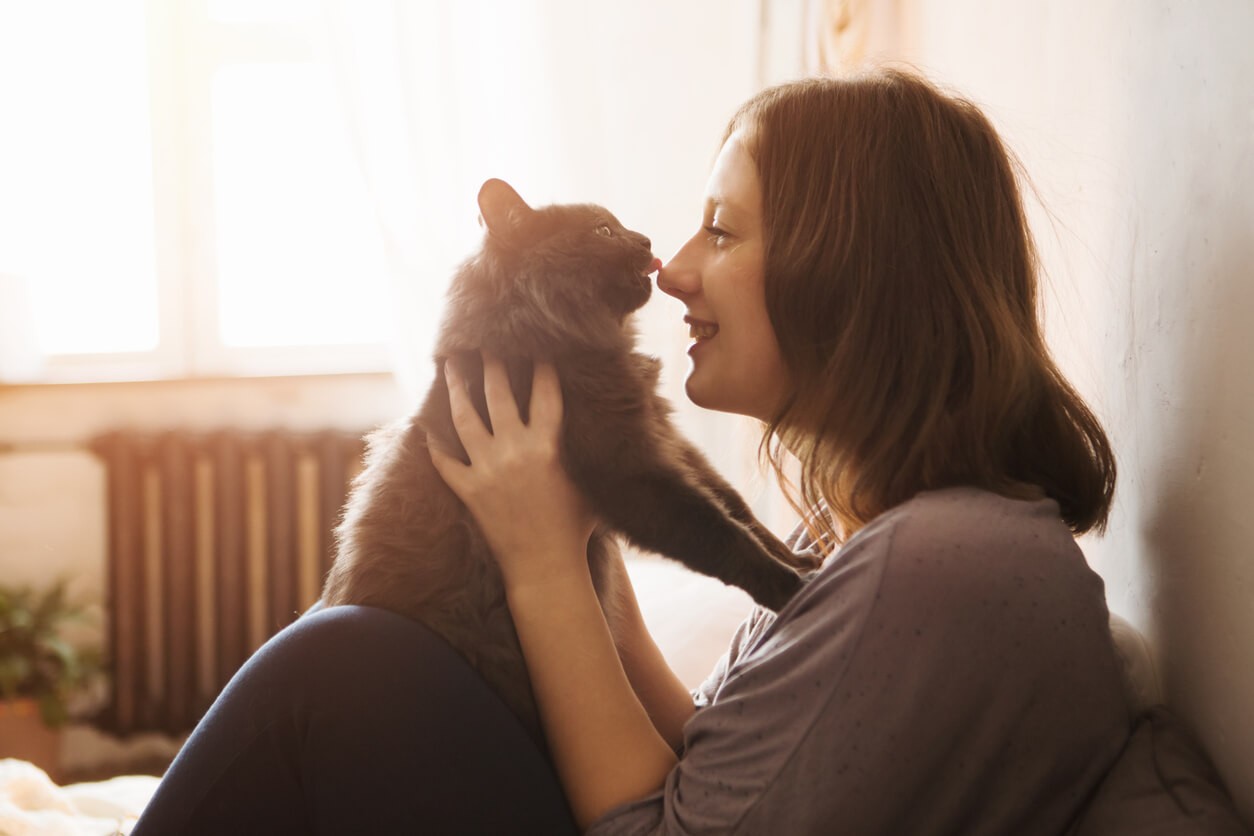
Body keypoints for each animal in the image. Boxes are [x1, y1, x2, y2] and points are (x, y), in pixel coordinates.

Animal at [323, 180, 807, 747]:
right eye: (602, 231)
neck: (557, 345)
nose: (646, 241)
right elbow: (719, 533)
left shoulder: (666, 440)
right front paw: (789, 588)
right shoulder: (630, 470)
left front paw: (799, 556)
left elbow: (737, 509)